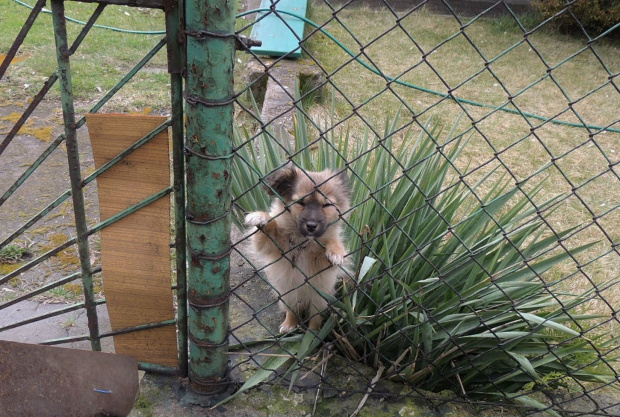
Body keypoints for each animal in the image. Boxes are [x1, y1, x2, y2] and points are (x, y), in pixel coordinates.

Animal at [246, 166, 352, 332]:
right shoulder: (272, 245)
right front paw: (261, 217)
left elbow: (332, 242)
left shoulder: (322, 265)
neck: (303, 242)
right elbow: (267, 233)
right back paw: (289, 324)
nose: (311, 226)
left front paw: (336, 252)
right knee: (292, 311)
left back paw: (313, 331)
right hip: (287, 295)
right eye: (300, 202)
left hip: (319, 298)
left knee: (315, 317)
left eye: (326, 205)